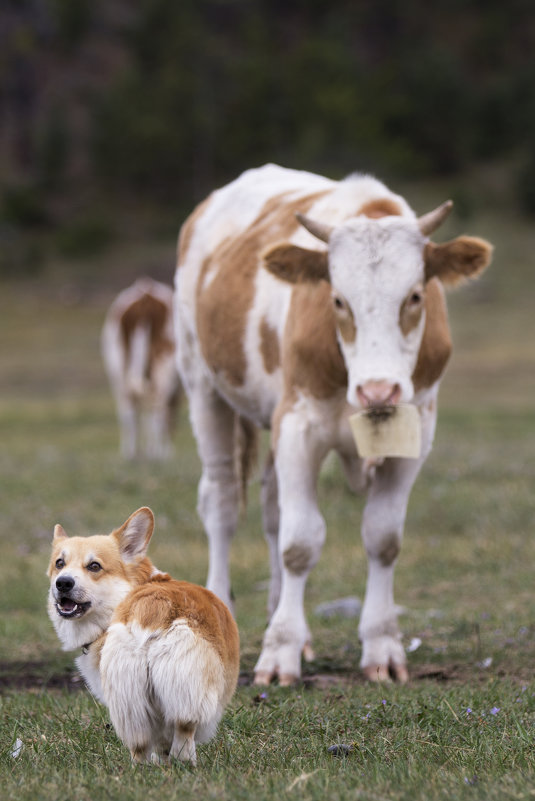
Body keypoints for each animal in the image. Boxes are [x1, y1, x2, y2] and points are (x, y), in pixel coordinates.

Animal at [48, 506, 241, 764]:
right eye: (60, 563)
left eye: (94, 566)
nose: (63, 583)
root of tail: (151, 606)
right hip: (188, 689)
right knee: (183, 731)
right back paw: (186, 764)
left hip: (129, 700)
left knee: (139, 745)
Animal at [102, 278, 182, 460]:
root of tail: (145, 296)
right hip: (164, 365)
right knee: (160, 409)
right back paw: (163, 452)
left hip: (117, 368)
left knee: (128, 411)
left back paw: (130, 452)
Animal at [173, 162, 494, 680]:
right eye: (338, 300)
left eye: (415, 296)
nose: (378, 391)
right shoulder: (298, 426)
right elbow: (300, 542)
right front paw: (280, 651)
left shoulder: (416, 430)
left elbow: (383, 537)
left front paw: (381, 646)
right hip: (204, 387)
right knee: (221, 502)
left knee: (272, 507)